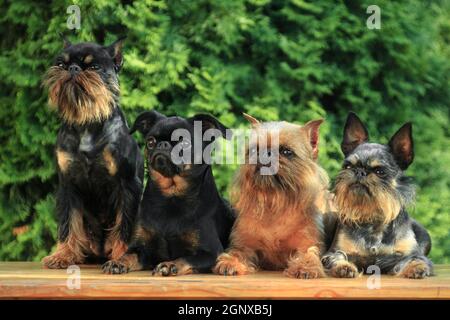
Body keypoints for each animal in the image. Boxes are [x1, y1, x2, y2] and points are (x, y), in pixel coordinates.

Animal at [42, 37, 143, 268]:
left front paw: (122, 257)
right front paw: (63, 254)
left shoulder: (127, 185)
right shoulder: (68, 185)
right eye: (61, 64)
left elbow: (125, 225)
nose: (73, 68)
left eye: (94, 67)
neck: (86, 124)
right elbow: (68, 223)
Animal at [102, 110, 236, 276]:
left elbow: (185, 258)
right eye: (150, 141)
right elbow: (129, 254)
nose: (163, 144)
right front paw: (118, 262)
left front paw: (169, 265)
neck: (171, 197)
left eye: (185, 143)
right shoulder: (142, 249)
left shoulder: (211, 253)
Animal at [322, 114, 434, 278]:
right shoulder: (332, 252)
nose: (360, 171)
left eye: (380, 172)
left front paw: (416, 268)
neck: (372, 219)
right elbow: (337, 257)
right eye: (348, 166)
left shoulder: (409, 254)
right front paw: (344, 267)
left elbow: (413, 259)